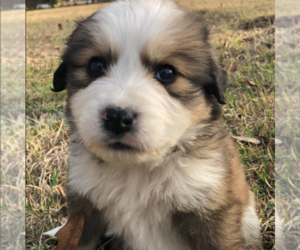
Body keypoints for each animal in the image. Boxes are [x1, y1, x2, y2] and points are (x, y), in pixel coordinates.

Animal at [51, 0, 260, 249]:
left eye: (167, 72)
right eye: (95, 66)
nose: (118, 117)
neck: (135, 170)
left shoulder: (210, 209)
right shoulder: (85, 208)